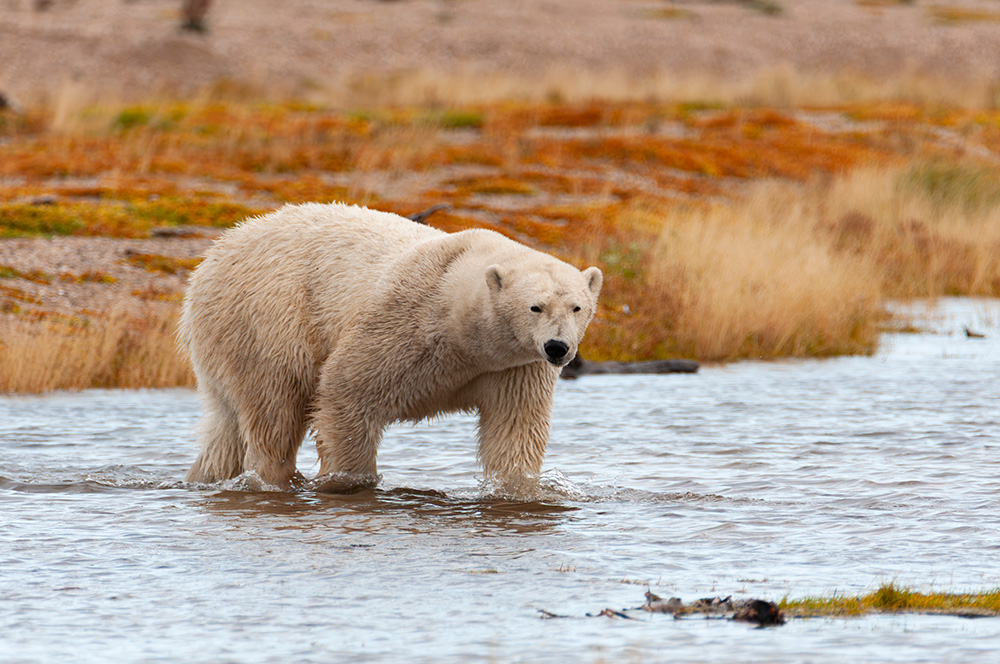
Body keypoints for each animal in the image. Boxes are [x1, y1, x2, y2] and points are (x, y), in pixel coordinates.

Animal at [179, 202, 602, 491]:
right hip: (265, 321)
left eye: (577, 306)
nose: (557, 347)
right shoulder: (403, 326)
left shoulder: (512, 367)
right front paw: (349, 479)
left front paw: (520, 488)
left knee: (225, 428)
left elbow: (514, 429)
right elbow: (345, 391)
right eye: (536, 306)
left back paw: (206, 476)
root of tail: (214, 255)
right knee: (274, 411)